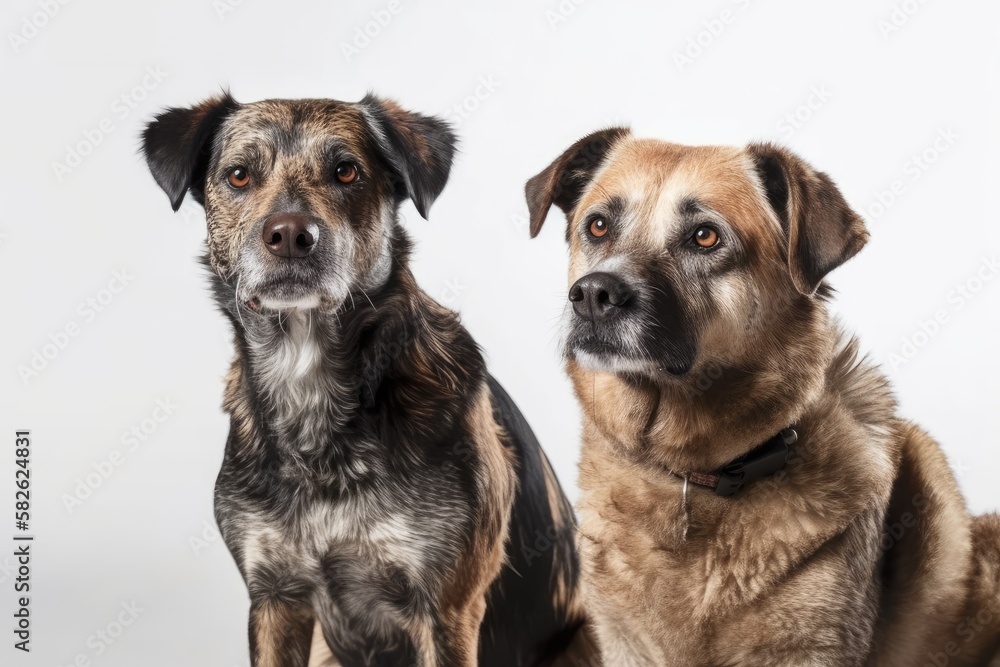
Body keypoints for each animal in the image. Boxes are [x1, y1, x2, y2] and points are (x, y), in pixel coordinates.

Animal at [142, 95, 592, 667]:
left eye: (346, 171)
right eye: (239, 175)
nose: (290, 235)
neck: (307, 377)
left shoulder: (446, 610)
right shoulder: (274, 599)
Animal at [524, 128, 1000, 664]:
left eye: (705, 236)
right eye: (599, 225)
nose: (593, 296)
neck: (694, 474)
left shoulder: (811, 648)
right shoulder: (624, 644)